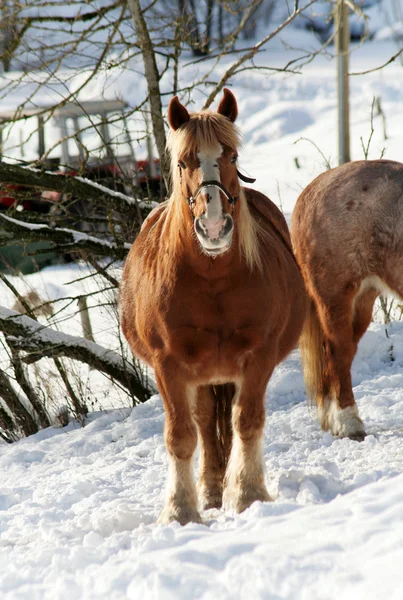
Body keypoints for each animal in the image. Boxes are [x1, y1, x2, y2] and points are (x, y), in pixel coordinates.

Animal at [120, 89, 306, 524]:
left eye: (232, 157)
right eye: (183, 162)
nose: (215, 227)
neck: (212, 281)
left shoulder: (258, 356)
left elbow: (247, 421)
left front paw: (248, 494)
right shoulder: (169, 366)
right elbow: (181, 436)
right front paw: (181, 511)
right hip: (200, 375)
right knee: (204, 425)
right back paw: (208, 490)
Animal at [292, 159, 403, 440]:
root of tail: (311, 190)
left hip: (363, 299)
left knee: (343, 353)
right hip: (334, 297)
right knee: (338, 353)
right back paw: (348, 423)